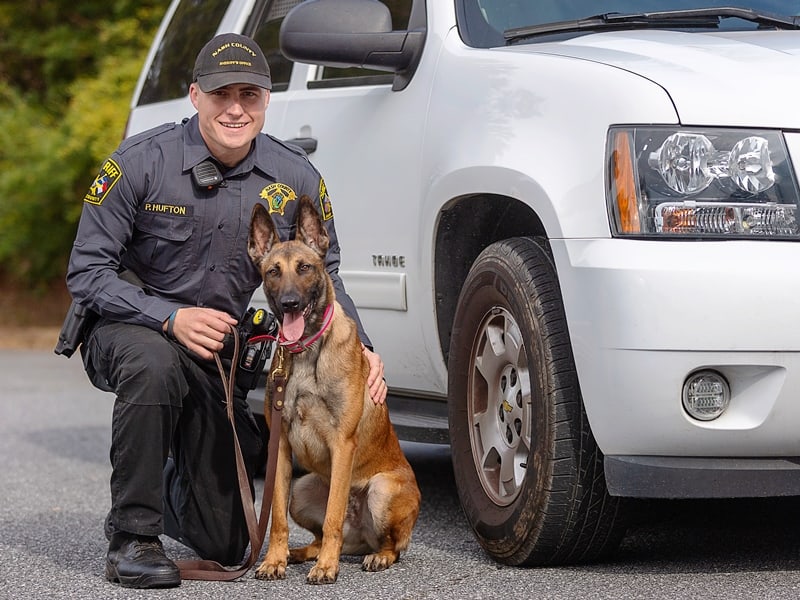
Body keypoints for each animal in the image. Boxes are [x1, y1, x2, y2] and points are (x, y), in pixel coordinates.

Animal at [248, 195, 424, 584]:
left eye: (304, 268)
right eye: (273, 272)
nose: (290, 303)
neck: (306, 352)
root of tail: (360, 534)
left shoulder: (343, 444)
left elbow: (332, 518)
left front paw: (327, 568)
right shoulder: (279, 449)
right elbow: (277, 519)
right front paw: (274, 559)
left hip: (381, 491)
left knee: (386, 544)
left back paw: (374, 556)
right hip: (301, 490)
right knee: (323, 535)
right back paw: (299, 554)